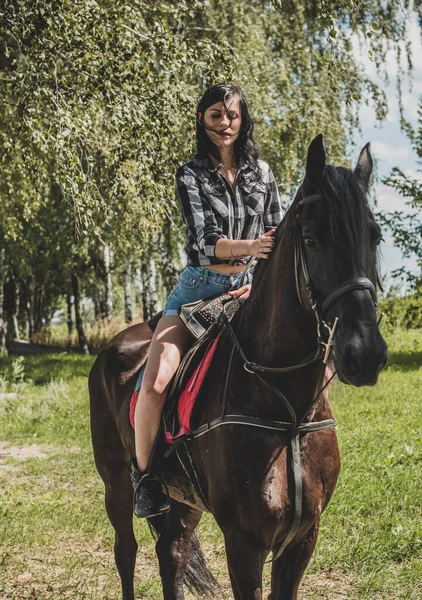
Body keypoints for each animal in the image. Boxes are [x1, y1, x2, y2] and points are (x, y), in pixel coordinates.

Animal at [90, 136, 388, 600]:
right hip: (116, 480)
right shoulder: (244, 542)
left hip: (184, 499)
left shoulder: (302, 539)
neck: (288, 410)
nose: (364, 353)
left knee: (172, 552)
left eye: (374, 237)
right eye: (311, 239)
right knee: (127, 551)